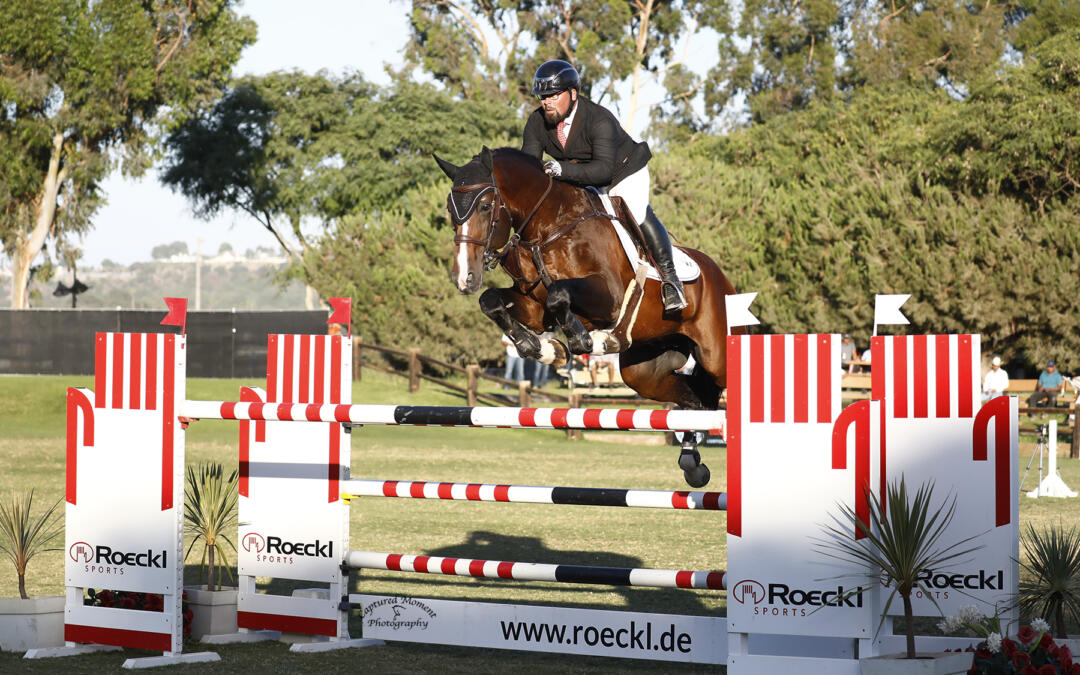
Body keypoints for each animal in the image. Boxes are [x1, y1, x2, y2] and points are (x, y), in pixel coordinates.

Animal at [434, 146, 738, 481]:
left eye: (486, 205)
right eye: (450, 208)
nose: (464, 278)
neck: (549, 226)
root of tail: (722, 278)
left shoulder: (610, 298)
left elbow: (560, 293)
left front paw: (584, 341)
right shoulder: (535, 309)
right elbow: (491, 301)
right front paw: (544, 349)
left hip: (716, 355)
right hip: (646, 368)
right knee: (696, 398)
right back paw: (692, 464)